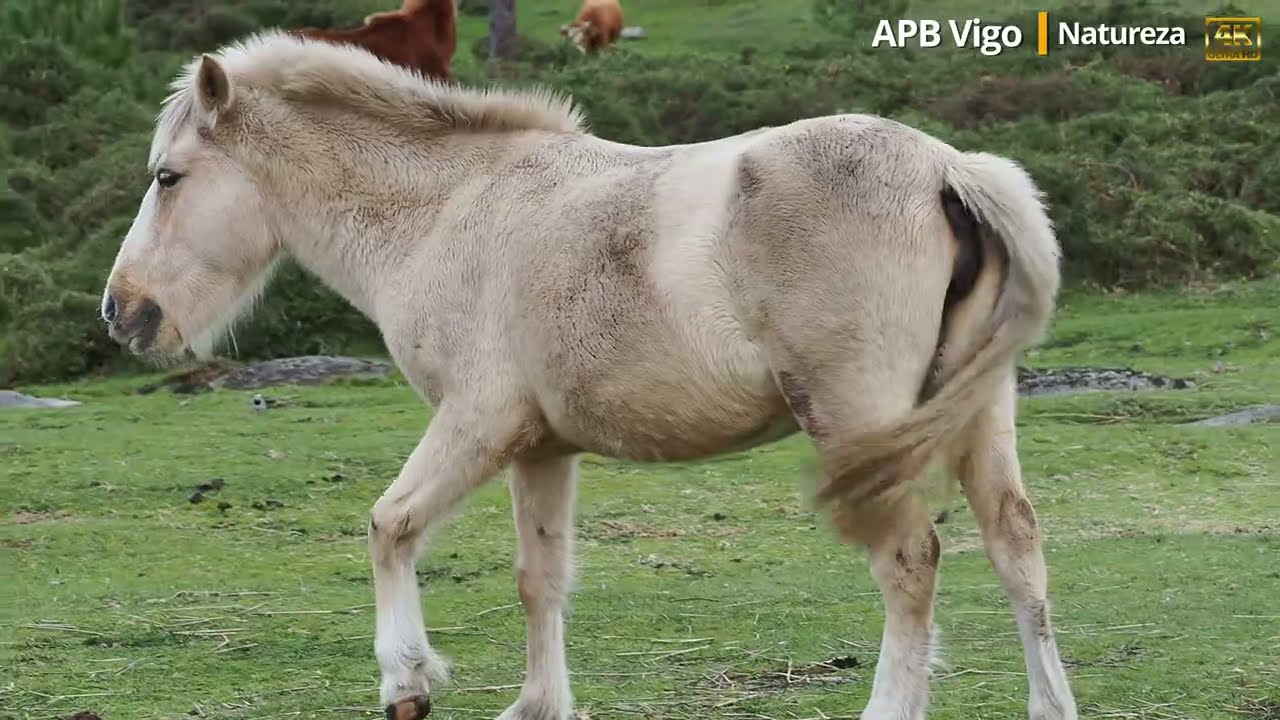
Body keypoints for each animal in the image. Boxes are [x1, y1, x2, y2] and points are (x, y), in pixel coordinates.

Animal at [99, 32, 1078, 720]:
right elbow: (541, 579)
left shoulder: (477, 424)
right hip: (978, 418)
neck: (451, 210)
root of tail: (949, 169)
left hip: (860, 425)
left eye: (168, 177)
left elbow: (389, 526)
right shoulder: (541, 449)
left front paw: (406, 681)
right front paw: (538, 704)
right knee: (1017, 547)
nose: (122, 310)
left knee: (910, 559)